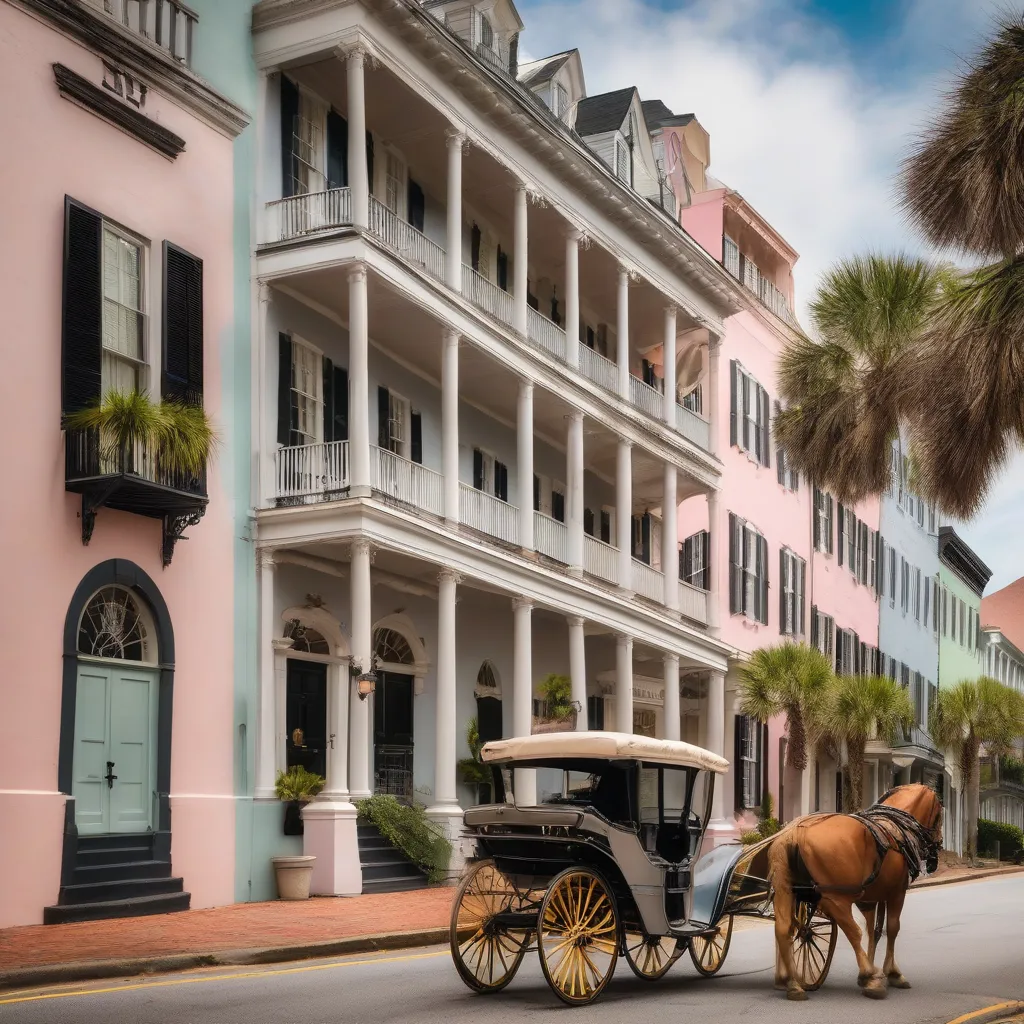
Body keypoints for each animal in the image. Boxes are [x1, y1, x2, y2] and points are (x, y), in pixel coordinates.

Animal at [770, 782, 942, 999]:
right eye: (940, 815)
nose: (938, 849)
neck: (896, 829)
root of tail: (796, 832)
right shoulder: (897, 893)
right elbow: (891, 928)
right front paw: (890, 973)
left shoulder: (868, 899)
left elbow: (873, 931)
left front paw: (873, 969)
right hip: (835, 898)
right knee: (852, 932)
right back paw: (869, 977)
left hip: (786, 892)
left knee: (785, 930)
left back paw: (791, 982)